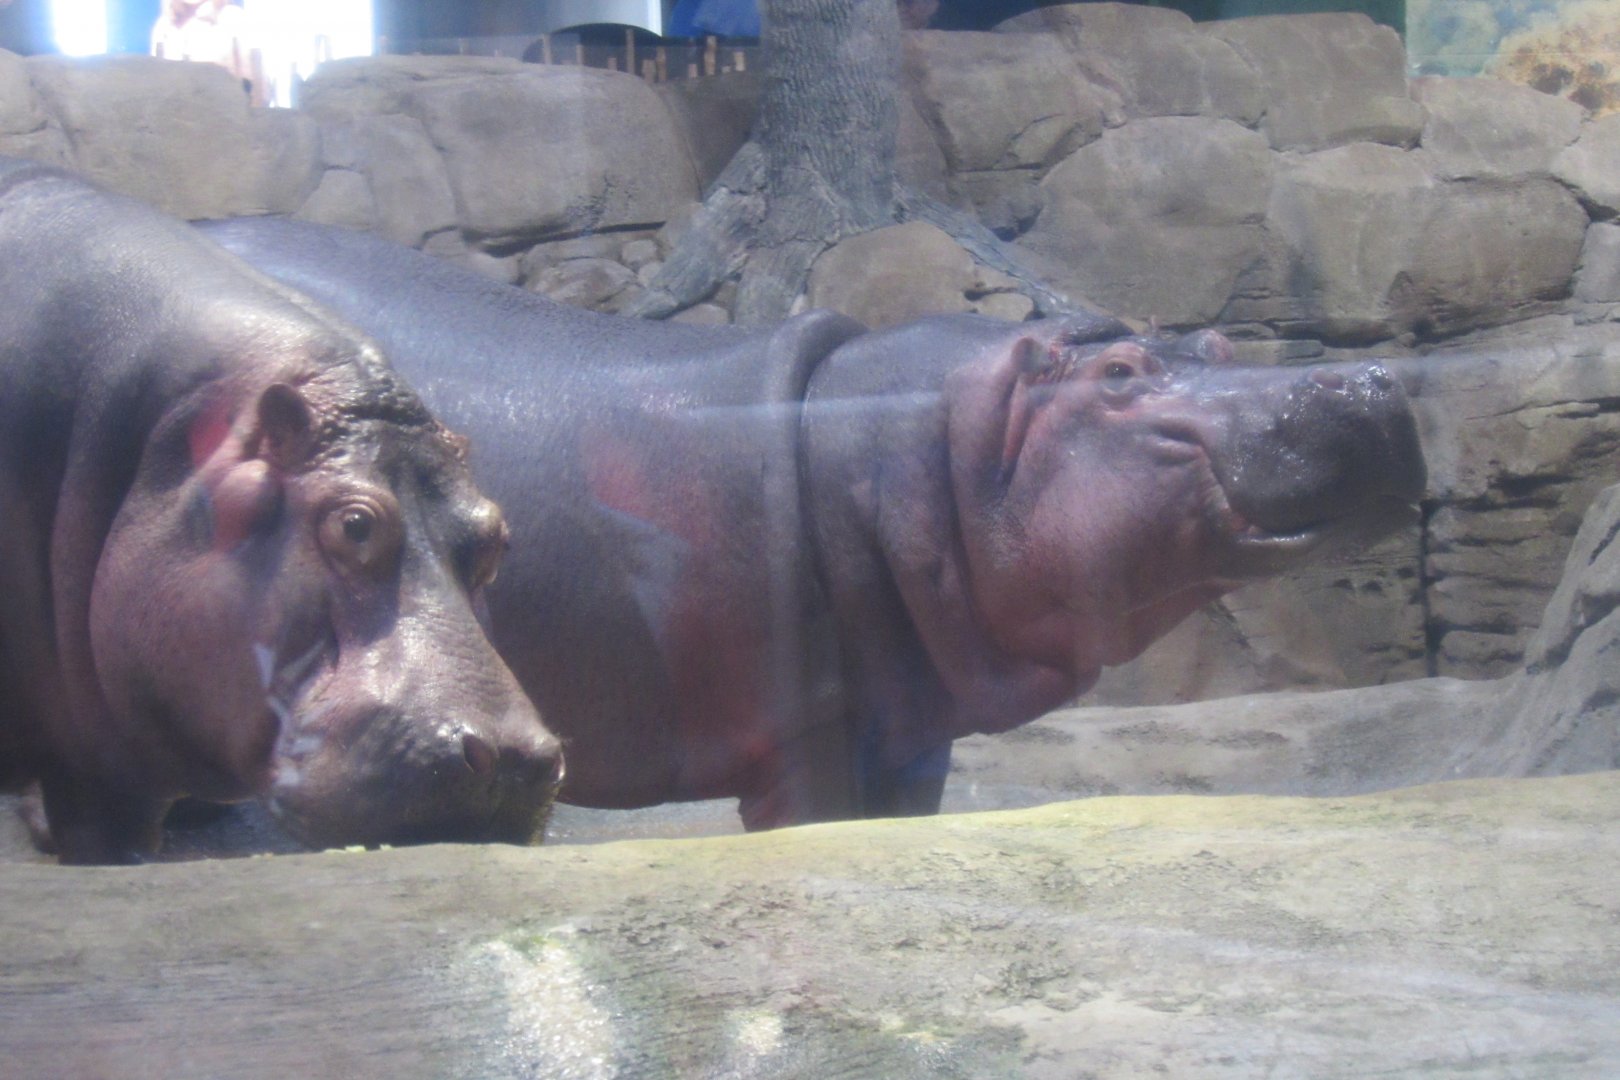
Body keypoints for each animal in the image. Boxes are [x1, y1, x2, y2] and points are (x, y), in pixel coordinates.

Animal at [199, 217, 1426, 830]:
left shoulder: (905, 723)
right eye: (1120, 374)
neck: (927, 441)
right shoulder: (799, 731)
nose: (1371, 381)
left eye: (1214, 345)